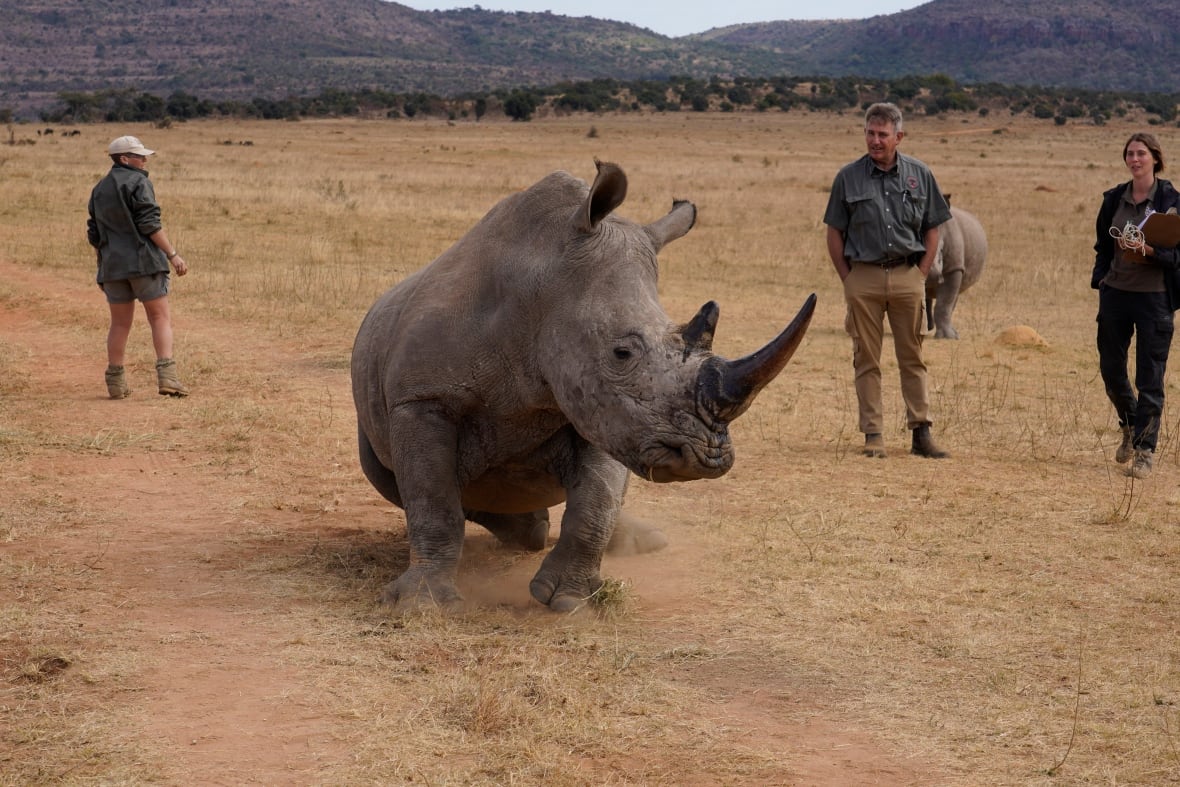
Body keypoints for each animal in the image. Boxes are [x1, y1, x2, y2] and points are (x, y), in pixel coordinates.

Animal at [351, 160, 816, 613]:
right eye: (621, 353)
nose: (707, 457)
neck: (539, 291)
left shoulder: (606, 409)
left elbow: (597, 499)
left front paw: (570, 601)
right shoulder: (422, 400)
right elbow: (433, 501)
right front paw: (422, 606)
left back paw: (630, 541)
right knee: (399, 483)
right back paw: (529, 530)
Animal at [926, 202, 988, 339]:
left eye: (942, 251)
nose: (932, 276)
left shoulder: (954, 267)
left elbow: (944, 302)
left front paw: (947, 337)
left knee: (954, 295)